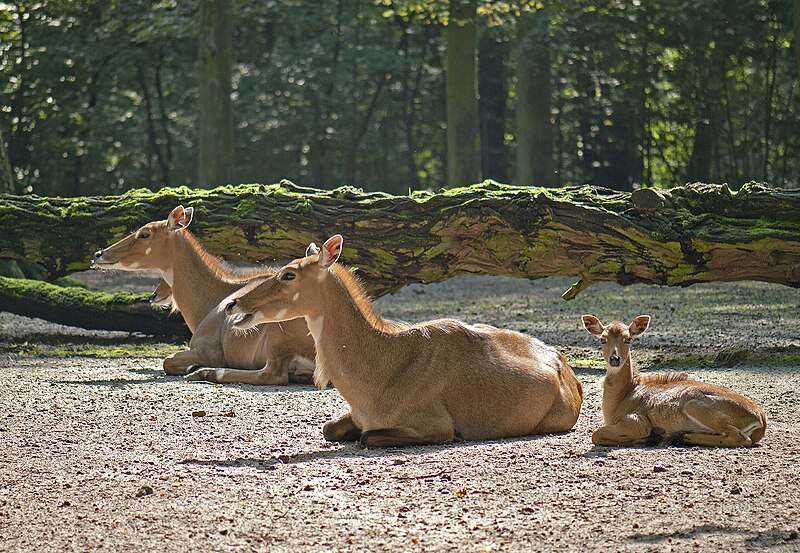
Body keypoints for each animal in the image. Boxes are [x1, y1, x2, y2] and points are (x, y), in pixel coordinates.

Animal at [93, 204, 316, 384]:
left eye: (144, 234)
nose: (99, 254)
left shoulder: (208, 351)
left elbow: (167, 361)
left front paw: (193, 366)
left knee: (273, 375)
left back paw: (207, 372)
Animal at [228, 235, 584, 446]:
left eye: (289, 274)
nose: (233, 304)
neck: (383, 369)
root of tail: (568, 373)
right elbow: (329, 428)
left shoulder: (435, 427)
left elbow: (367, 438)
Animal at [584, 312, 764, 446]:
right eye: (602, 339)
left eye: (628, 338)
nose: (615, 359)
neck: (623, 396)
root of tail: (760, 417)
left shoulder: (637, 421)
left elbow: (596, 434)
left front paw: (648, 438)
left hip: (695, 405)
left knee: (740, 437)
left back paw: (679, 437)